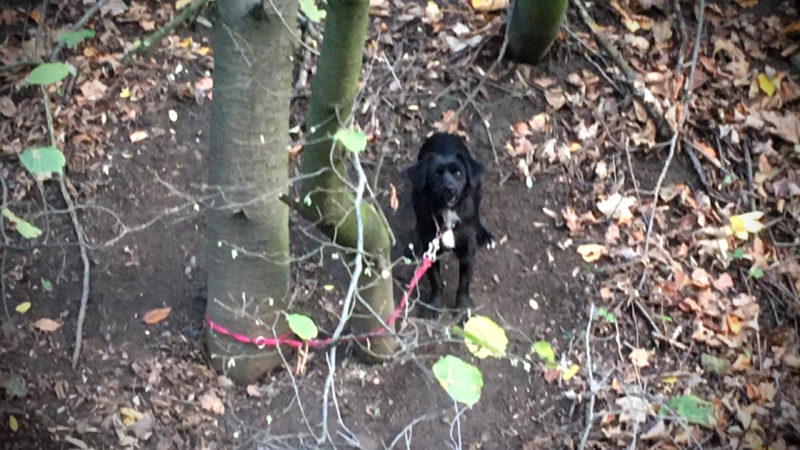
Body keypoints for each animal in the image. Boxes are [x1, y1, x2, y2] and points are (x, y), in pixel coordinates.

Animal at [412, 132, 494, 318]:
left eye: (457, 173)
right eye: (436, 174)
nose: (449, 188)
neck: (448, 214)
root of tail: (443, 133)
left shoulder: (468, 254)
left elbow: (463, 285)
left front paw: (463, 310)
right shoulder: (430, 251)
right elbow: (436, 281)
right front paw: (435, 305)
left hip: (477, 190)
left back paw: (484, 234)